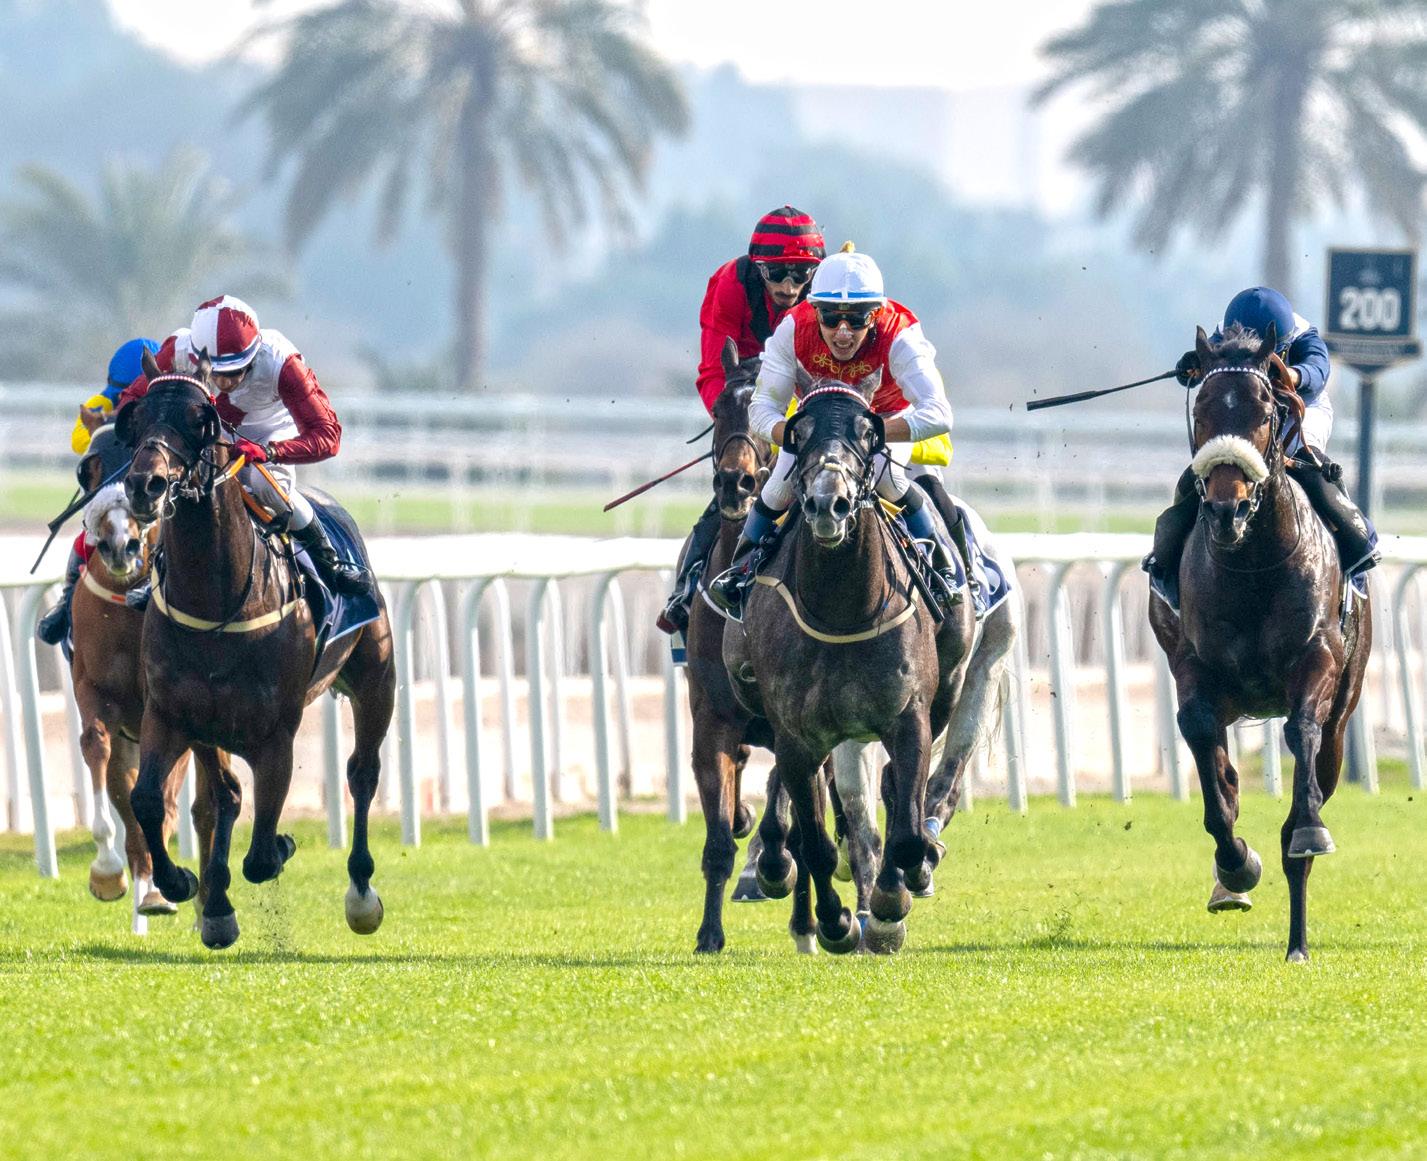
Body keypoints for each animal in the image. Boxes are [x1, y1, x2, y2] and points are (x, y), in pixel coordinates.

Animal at [117, 358, 396, 950]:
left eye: (198, 420)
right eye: (139, 415)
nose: (146, 483)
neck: (218, 599)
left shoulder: (275, 734)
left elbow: (264, 853)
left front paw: (283, 848)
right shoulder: (170, 713)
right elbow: (150, 799)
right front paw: (184, 884)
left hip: (376, 680)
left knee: (362, 773)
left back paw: (361, 893)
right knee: (224, 795)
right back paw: (217, 905)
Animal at [724, 381, 977, 953]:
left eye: (866, 433)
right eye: (799, 432)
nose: (828, 503)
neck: (842, 608)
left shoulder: (909, 718)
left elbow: (904, 834)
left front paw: (887, 910)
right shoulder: (796, 735)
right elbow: (814, 843)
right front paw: (836, 922)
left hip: (948, 688)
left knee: (895, 791)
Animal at [1149, 324, 1372, 963]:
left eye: (1267, 411)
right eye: (1202, 407)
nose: (1226, 509)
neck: (1250, 562)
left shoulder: (1317, 658)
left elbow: (1302, 737)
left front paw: (1306, 832)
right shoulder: (1195, 667)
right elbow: (1209, 758)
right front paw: (1236, 863)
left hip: (1345, 710)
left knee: (1316, 772)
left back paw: (1298, 938)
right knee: (1221, 764)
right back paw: (1234, 884)